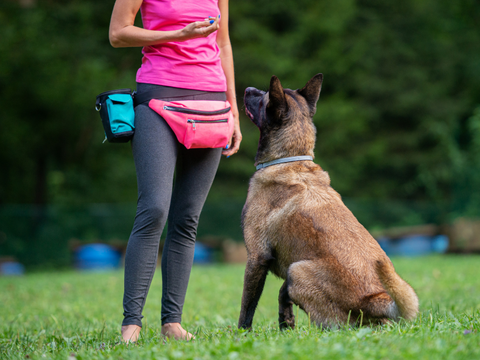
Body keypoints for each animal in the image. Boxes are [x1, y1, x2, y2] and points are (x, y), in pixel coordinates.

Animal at [238, 73, 418, 330]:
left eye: (264, 98)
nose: (248, 88)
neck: (289, 159)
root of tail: (374, 300)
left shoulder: (256, 258)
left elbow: (247, 307)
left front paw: (241, 334)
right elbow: (282, 296)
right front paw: (286, 324)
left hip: (297, 270)